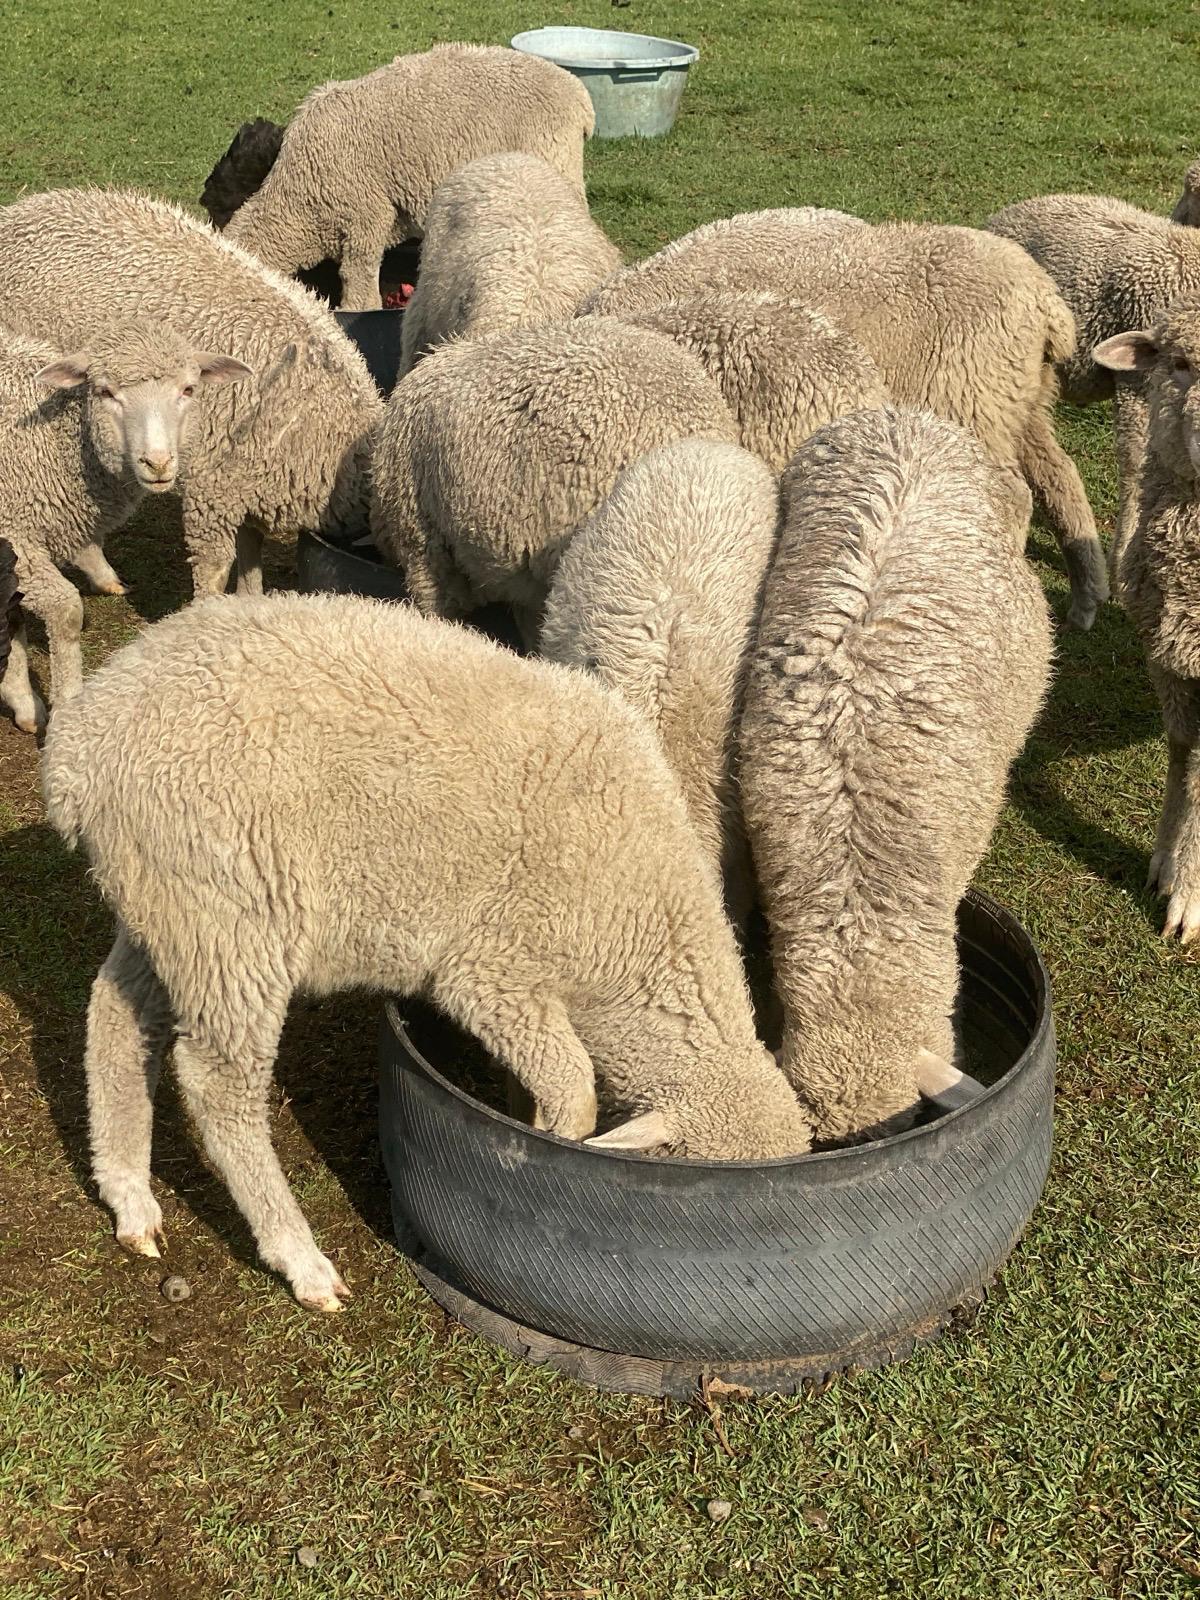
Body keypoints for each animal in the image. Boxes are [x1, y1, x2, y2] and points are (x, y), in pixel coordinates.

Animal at [0, 187, 382, 599]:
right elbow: (215, 568)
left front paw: (249, 598)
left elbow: (251, 548)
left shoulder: (245, 483)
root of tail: (22, 209)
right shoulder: (211, 490)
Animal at [0, 321, 249, 734]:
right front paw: (57, 705)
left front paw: (21, 699)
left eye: (188, 389)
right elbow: (65, 612)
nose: (158, 463)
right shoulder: (14, 538)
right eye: (105, 392)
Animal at [42, 591, 815, 1309]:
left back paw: (129, 1195)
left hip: (167, 903)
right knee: (216, 1085)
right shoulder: (494, 971)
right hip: (230, 914)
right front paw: (548, 1142)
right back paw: (298, 1257)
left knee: (114, 1015)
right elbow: (574, 1088)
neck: (642, 942)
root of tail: (79, 750)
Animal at [223, 44, 596, 312]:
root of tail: (578, 95)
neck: (297, 199)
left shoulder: (367, 215)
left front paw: (357, 309)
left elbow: (357, 275)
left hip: (554, 157)